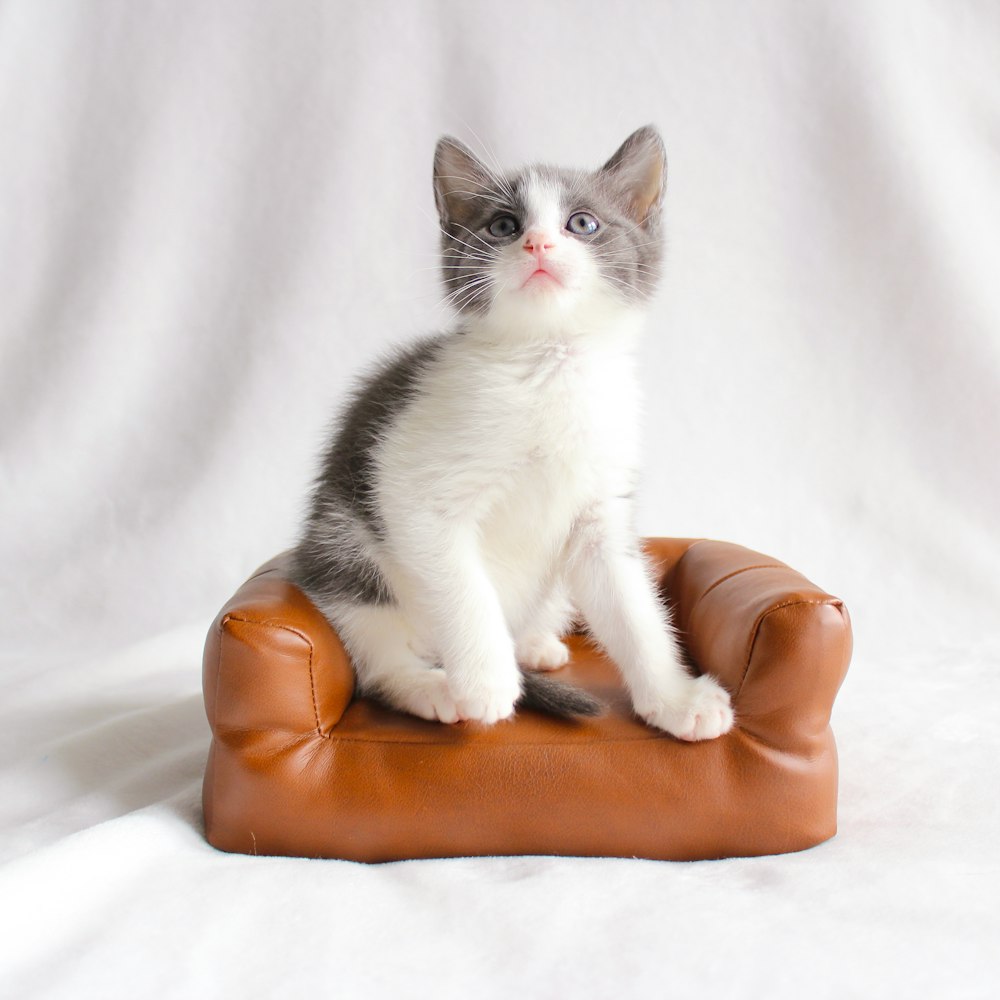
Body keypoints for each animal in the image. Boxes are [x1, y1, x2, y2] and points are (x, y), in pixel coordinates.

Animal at [290, 127, 736, 744]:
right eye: (503, 225)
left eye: (582, 223)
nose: (538, 246)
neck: (548, 363)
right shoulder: (410, 487)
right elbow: (462, 587)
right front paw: (486, 682)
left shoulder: (600, 512)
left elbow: (634, 610)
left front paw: (675, 699)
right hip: (343, 551)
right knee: (379, 654)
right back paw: (432, 687)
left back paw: (533, 643)